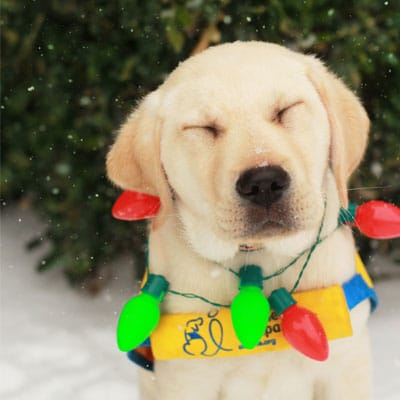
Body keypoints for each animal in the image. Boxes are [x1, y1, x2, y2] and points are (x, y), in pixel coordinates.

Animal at [107, 42, 372, 398]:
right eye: (204, 128)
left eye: (285, 110)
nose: (263, 182)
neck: (259, 260)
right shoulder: (186, 381)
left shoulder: (346, 367)